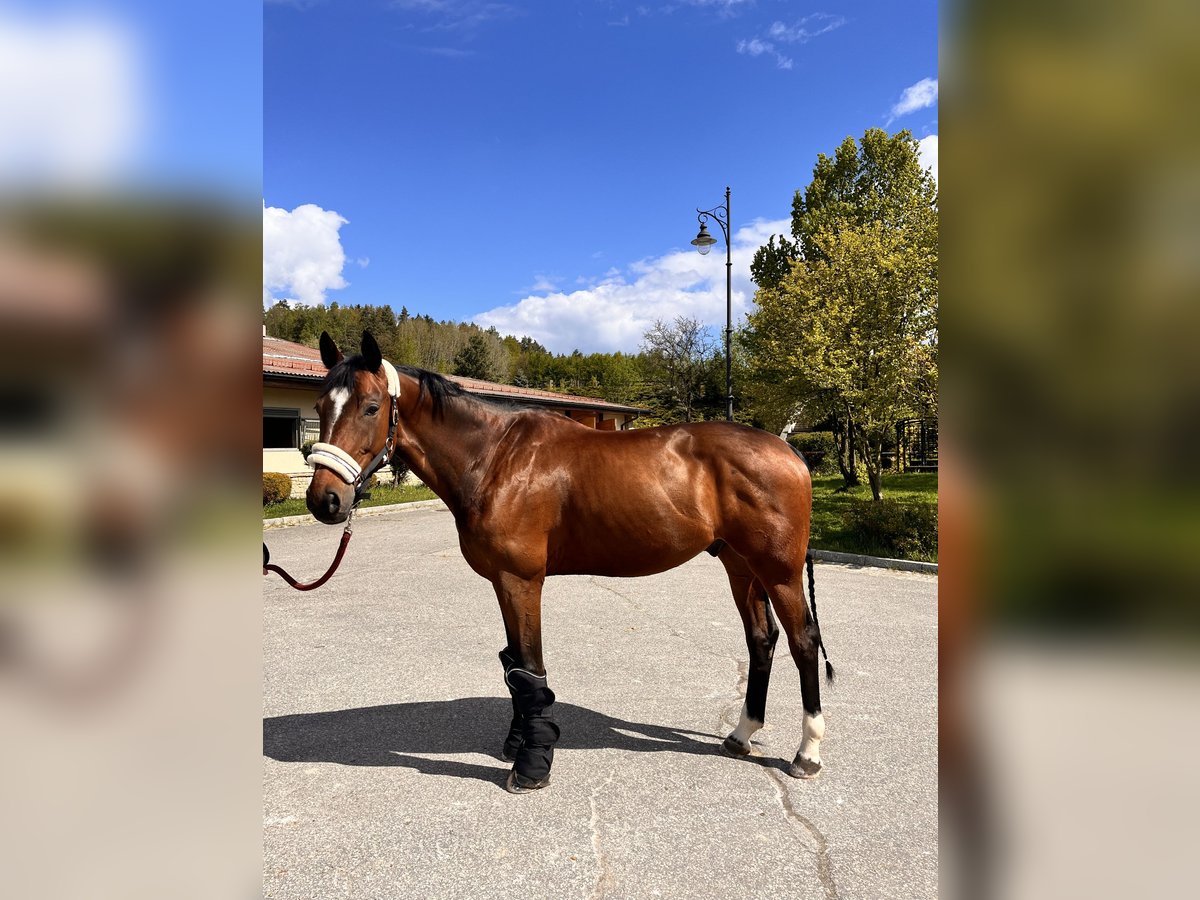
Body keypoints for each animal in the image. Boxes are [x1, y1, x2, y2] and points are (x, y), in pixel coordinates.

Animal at [307, 333, 835, 796]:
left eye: (371, 407)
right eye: (319, 410)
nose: (325, 501)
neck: (496, 458)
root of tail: (790, 451)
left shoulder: (521, 580)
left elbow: (531, 667)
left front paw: (531, 766)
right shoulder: (502, 582)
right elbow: (515, 667)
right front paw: (520, 743)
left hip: (779, 571)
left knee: (803, 641)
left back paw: (807, 753)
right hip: (740, 566)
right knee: (761, 640)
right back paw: (742, 734)